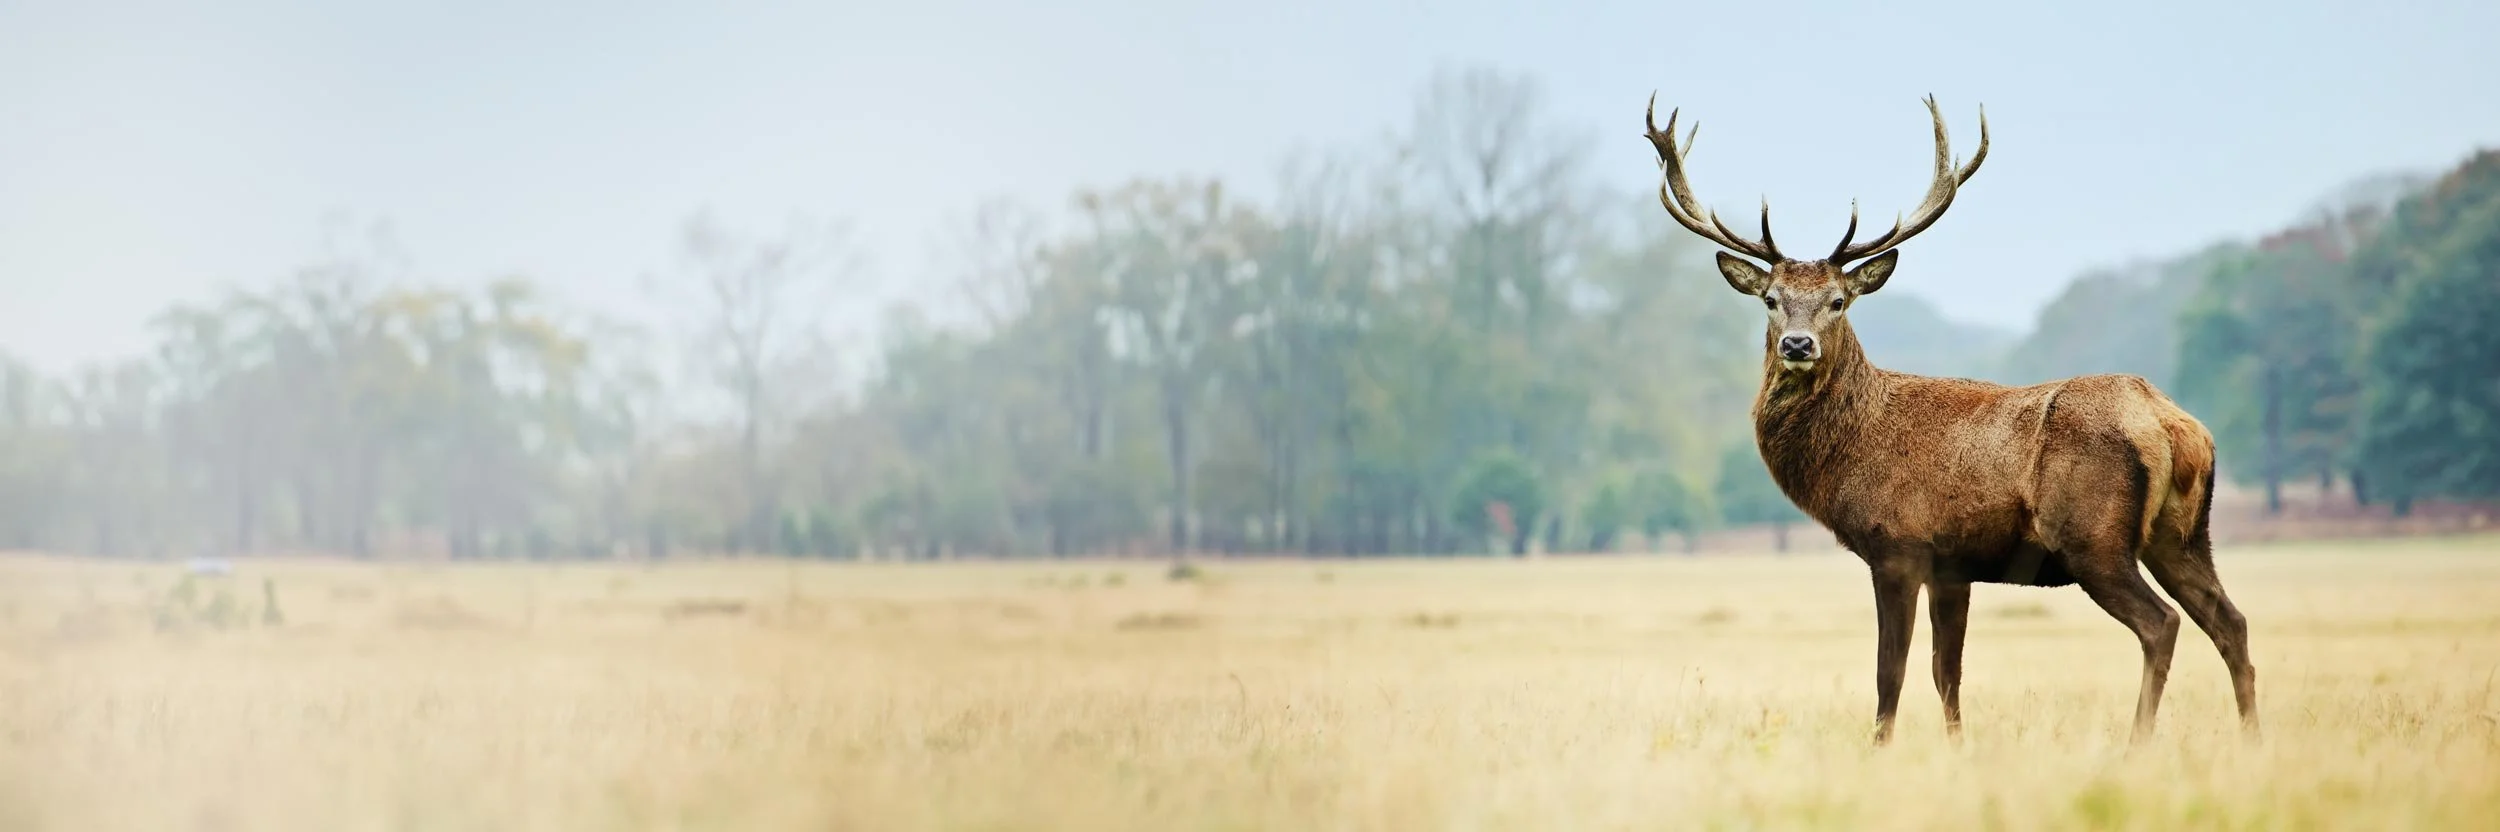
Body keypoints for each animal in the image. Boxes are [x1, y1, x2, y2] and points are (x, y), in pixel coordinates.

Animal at [1641, 94, 2258, 745]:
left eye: (1838, 300)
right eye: (1770, 300)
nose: (1798, 344)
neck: (1850, 454)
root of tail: (2175, 427)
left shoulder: (1898, 546)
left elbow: (1891, 672)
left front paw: (1880, 748)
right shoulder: (1952, 566)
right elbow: (1947, 673)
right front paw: (1957, 747)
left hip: (2094, 538)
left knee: (2162, 623)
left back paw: (2136, 743)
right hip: (2182, 534)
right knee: (2231, 621)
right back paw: (2252, 738)